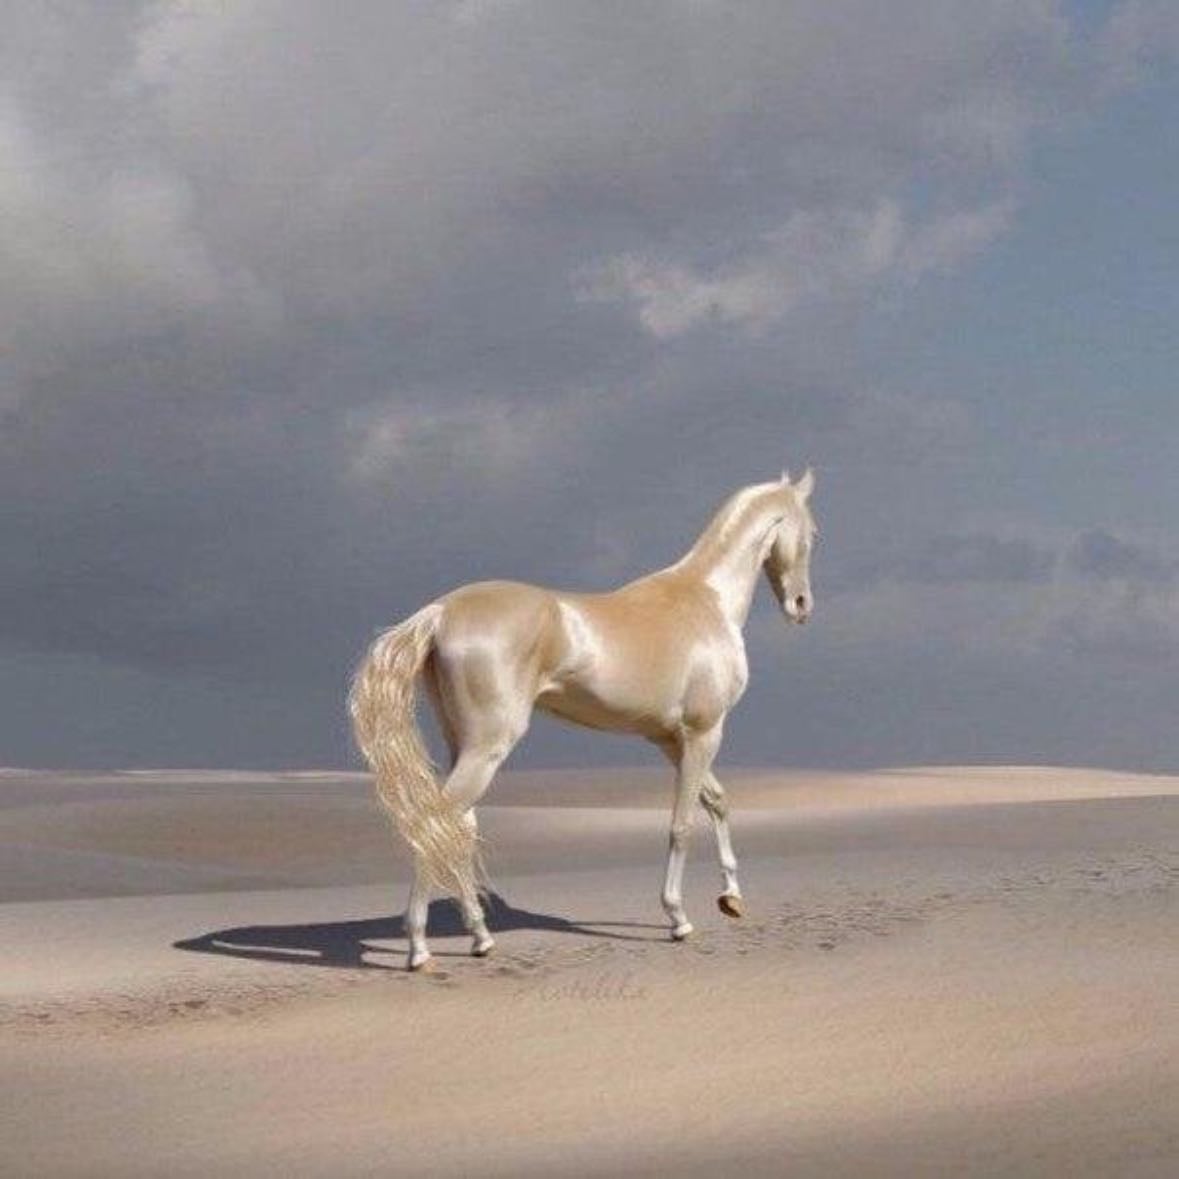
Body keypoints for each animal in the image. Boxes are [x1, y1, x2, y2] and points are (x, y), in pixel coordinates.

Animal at [348, 470, 818, 971]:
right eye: (812, 533)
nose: (801, 605)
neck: (705, 600)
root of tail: (440, 613)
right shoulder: (703, 732)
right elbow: (682, 824)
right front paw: (678, 918)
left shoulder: (671, 740)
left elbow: (717, 801)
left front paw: (731, 897)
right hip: (487, 749)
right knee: (436, 825)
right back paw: (419, 948)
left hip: (463, 746)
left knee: (457, 829)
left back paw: (480, 937)